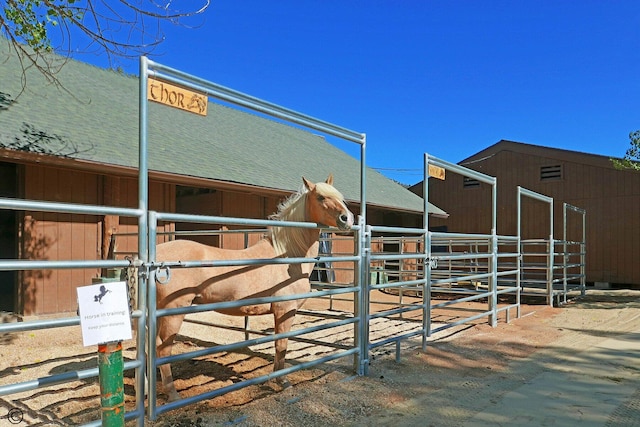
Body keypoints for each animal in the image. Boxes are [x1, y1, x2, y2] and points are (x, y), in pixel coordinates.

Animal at [155, 175, 356, 402]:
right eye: (321, 197)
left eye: (340, 197)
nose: (347, 219)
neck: (287, 255)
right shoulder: (285, 311)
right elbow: (281, 345)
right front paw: (282, 381)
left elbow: (279, 344)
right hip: (172, 313)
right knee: (162, 351)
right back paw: (173, 395)